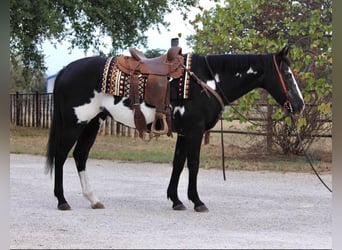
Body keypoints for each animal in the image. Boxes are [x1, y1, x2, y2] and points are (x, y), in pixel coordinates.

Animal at [46, 44, 304, 211]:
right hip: (74, 123)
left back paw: (93, 199)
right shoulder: (195, 131)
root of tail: (66, 70)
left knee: (80, 156)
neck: (207, 81)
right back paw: (62, 200)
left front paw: (176, 200)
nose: (300, 104)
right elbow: (193, 164)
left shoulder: (184, 132)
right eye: (287, 74)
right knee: (61, 155)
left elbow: (178, 163)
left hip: (92, 123)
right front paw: (197, 201)